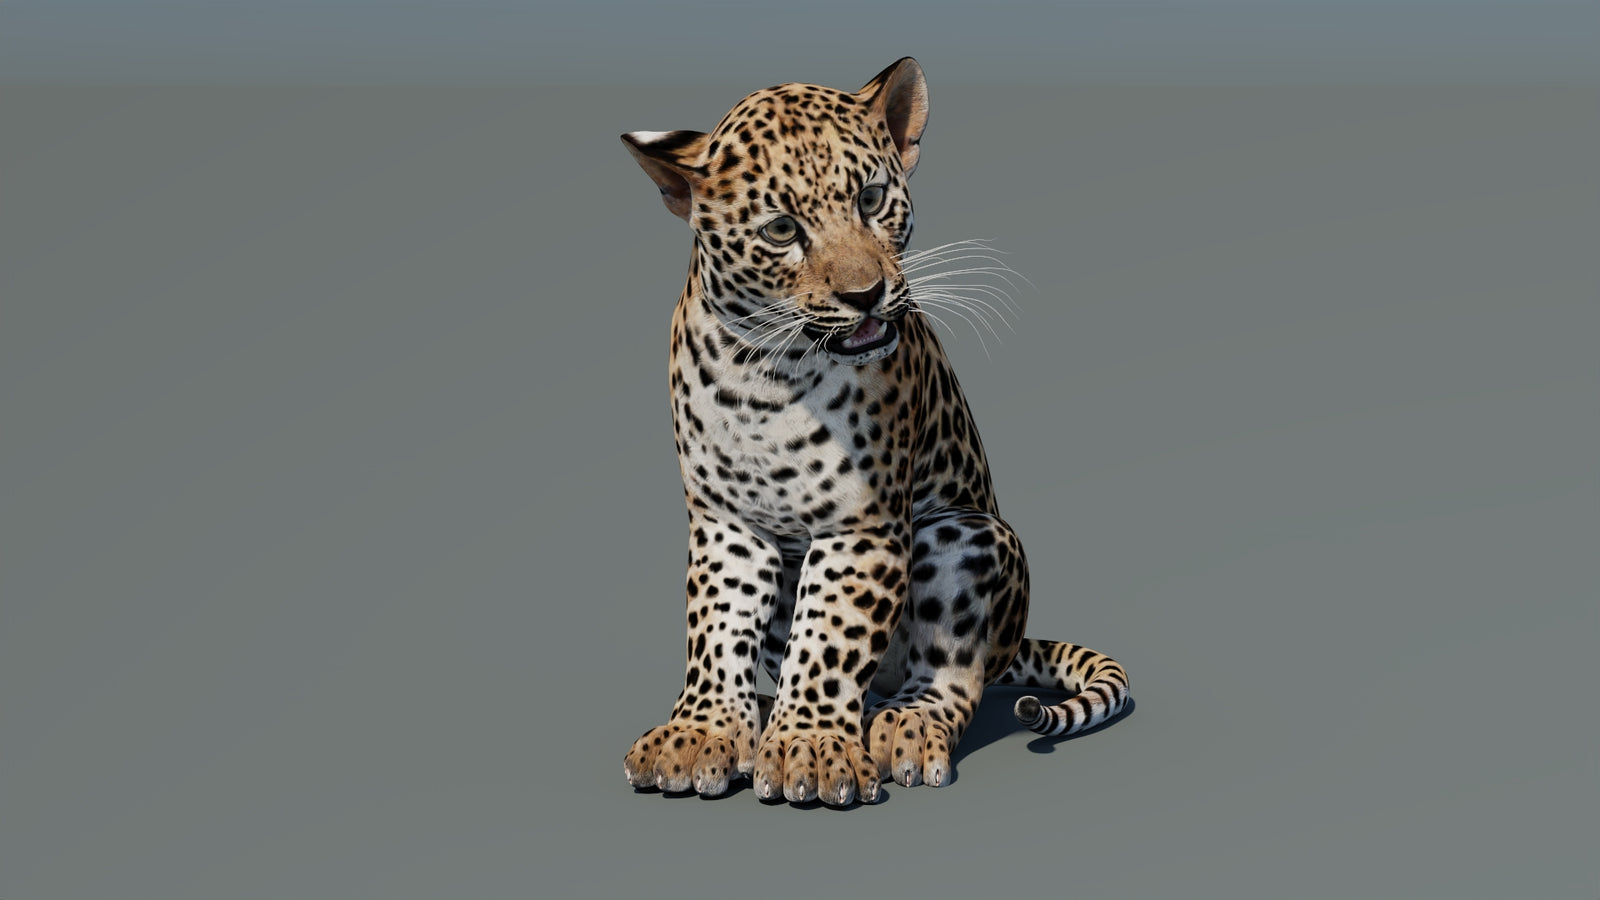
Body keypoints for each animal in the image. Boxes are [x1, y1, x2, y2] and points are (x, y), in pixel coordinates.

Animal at [620, 58, 1130, 807]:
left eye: (871, 198)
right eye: (780, 230)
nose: (865, 296)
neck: (764, 374)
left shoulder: (859, 524)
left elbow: (829, 637)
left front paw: (807, 749)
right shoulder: (726, 521)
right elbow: (716, 626)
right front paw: (704, 732)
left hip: (966, 536)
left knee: (949, 676)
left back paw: (903, 727)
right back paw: (771, 717)